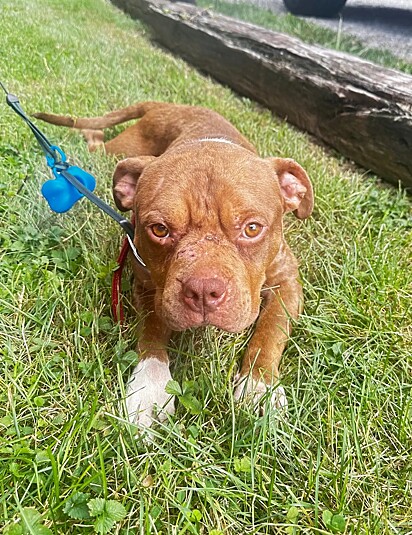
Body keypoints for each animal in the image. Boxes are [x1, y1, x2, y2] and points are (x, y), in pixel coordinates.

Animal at [34, 102, 312, 430]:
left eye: (253, 228)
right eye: (160, 229)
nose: (204, 291)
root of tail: (166, 105)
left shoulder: (288, 282)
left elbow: (271, 328)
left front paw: (259, 386)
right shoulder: (147, 284)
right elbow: (153, 328)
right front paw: (150, 385)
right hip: (121, 150)